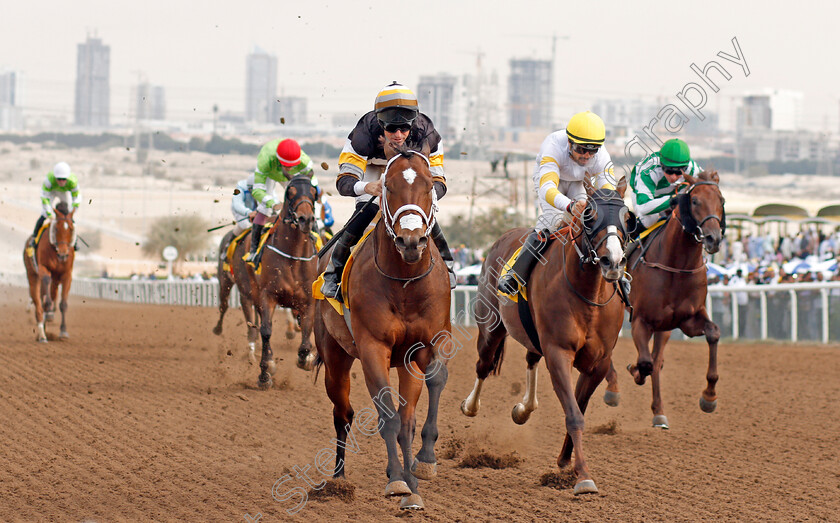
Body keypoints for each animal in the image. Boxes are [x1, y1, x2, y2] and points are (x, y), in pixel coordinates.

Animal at [23, 202, 76, 344]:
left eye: (71, 229)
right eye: (56, 229)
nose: (63, 253)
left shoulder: (66, 274)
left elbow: (63, 304)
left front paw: (63, 332)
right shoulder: (43, 269)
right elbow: (46, 301)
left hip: (56, 279)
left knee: (51, 294)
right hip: (32, 275)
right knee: (38, 303)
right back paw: (42, 334)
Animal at [248, 176, 320, 388]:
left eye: (314, 192)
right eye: (291, 193)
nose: (306, 219)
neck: (293, 256)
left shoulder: (309, 302)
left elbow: (306, 337)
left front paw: (306, 359)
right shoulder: (267, 296)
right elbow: (266, 331)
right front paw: (266, 372)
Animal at [312, 144, 450, 512]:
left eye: (430, 185)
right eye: (387, 186)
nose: (411, 241)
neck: (404, 283)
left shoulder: (421, 349)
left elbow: (412, 412)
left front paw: (418, 471)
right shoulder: (374, 347)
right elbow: (388, 416)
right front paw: (399, 481)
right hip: (335, 356)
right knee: (342, 413)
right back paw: (339, 478)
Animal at [460, 184, 632, 496]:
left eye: (628, 217)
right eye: (590, 216)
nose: (612, 261)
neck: (587, 293)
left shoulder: (599, 362)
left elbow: (579, 407)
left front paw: (565, 462)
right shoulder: (559, 353)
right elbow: (574, 413)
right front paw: (583, 476)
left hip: (532, 335)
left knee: (530, 359)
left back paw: (523, 409)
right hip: (490, 327)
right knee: (484, 365)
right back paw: (470, 405)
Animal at [604, 169, 720, 430]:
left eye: (721, 200)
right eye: (694, 200)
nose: (713, 238)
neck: (677, 266)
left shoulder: (688, 320)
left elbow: (713, 333)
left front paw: (709, 397)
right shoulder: (641, 320)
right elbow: (644, 363)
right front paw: (634, 369)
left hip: (665, 327)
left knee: (656, 360)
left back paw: (659, 413)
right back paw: (613, 388)